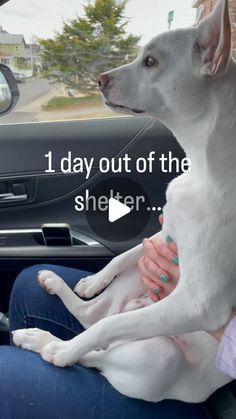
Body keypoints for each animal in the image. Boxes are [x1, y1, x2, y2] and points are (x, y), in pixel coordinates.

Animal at [12, 0, 236, 406]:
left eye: (151, 61)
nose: (100, 79)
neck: (205, 165)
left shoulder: (198, 302)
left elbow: (108, 328)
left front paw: (63, 350)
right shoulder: (167, 235)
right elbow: (125, 255)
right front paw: (93, 279)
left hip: (155, 354)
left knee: (98, 344)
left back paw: (52, 345)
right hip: (136, 286)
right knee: (92, 313)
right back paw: (57, 288)